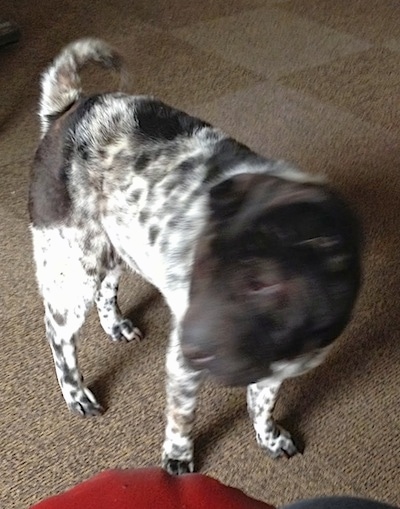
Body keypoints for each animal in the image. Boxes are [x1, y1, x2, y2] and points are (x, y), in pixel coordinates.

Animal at [29, 38, 362, 472]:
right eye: (198, 265)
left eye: (260, 283)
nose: (190, 343)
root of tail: (67, 110)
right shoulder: (183, 368)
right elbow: (183, 415)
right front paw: (179, 456)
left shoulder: (276, 370)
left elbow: (263, 404)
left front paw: (269, 437)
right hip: (73, 267)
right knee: (59, 335)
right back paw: (76, 393)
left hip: (114, 246)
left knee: (107, 290)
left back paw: (116, 325)